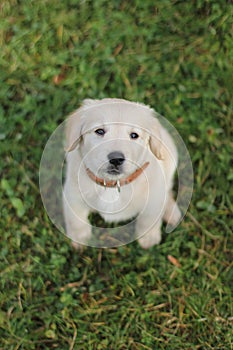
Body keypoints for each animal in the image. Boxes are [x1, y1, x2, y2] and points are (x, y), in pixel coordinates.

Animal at [62, 99, 181, 249]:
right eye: (99, 131)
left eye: (134, 135)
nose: (116, 159)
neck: (113, 184)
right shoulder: (73, 195)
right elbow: (75, 220)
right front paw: (79, 240)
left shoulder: (154, 198)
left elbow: (148, 220)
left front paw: (148, 239)